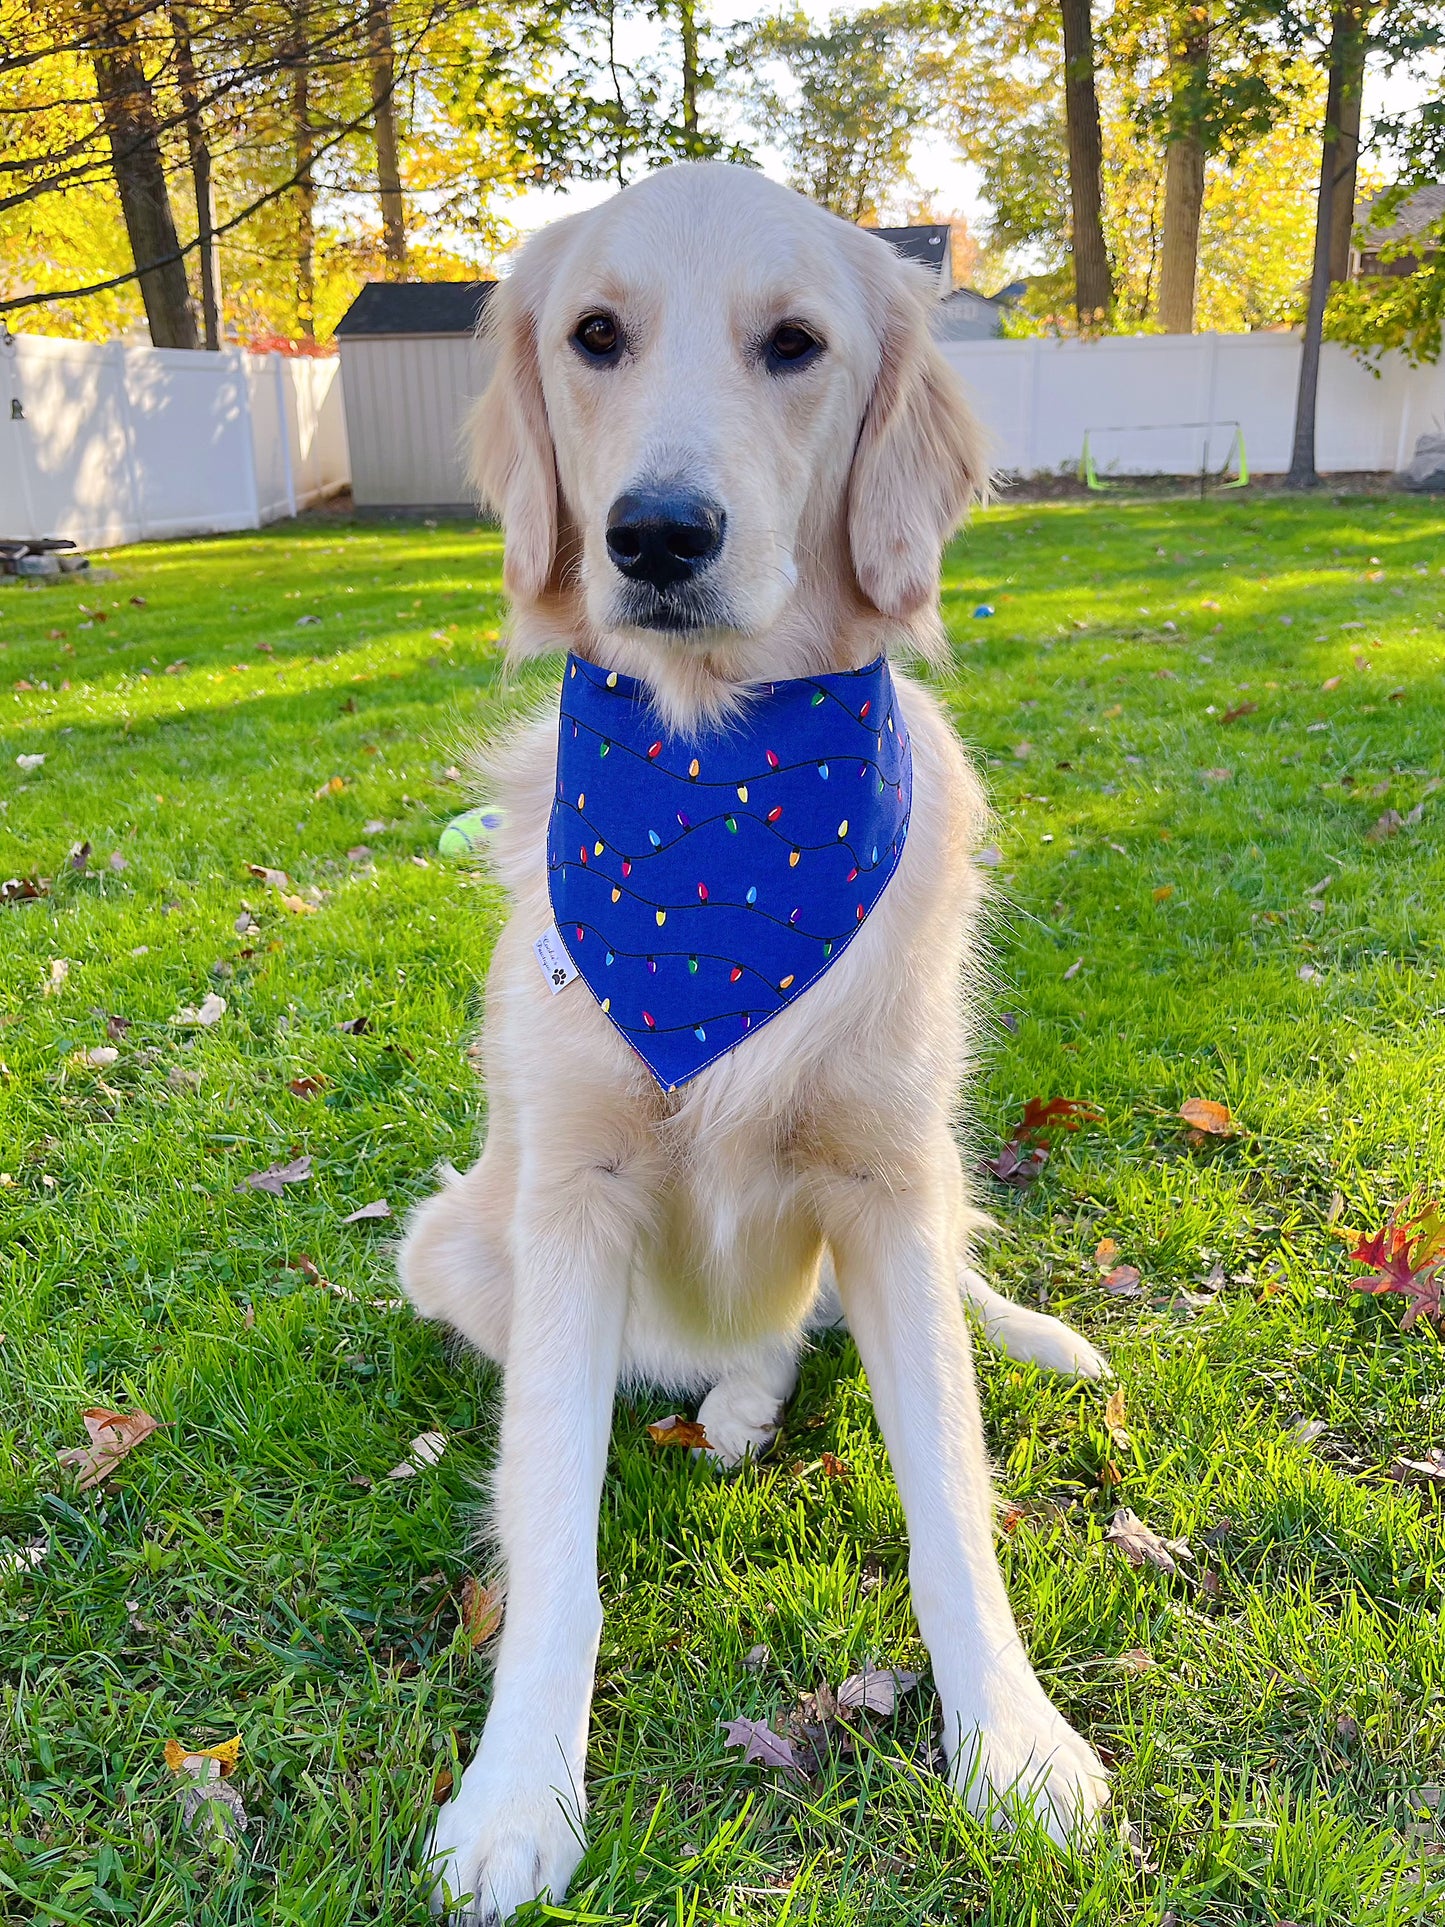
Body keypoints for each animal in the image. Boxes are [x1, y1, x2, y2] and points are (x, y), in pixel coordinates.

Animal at [402, 158, 1117, 1919]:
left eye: (794, 344)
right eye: (594, 336)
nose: (658, 531)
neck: (721, 801)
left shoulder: (891, 1185)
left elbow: (953, 1511)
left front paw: (1015, 1742)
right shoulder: (570, 1195)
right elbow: (552, 1522)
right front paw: (517, 1792)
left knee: (797, 1328)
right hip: (452, 1237)